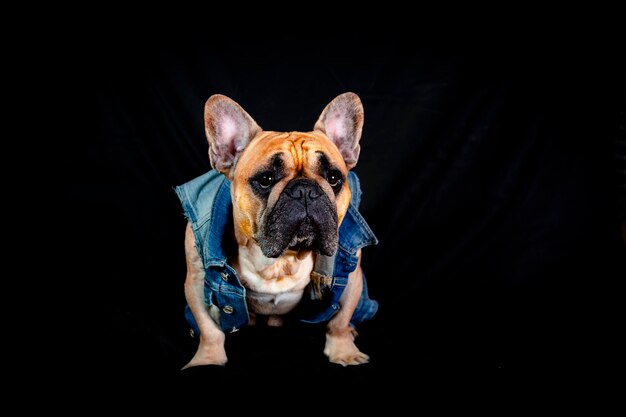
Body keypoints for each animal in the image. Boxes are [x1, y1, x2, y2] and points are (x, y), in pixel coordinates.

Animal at [178, 92, 378, 368]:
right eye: (266, 179)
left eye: (334, 178)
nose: (305, 190)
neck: (283, 259)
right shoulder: (197, 281)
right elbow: (208, 329)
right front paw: (207, 360)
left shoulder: (351, 276)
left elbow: (339, 320)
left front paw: (343, 351)